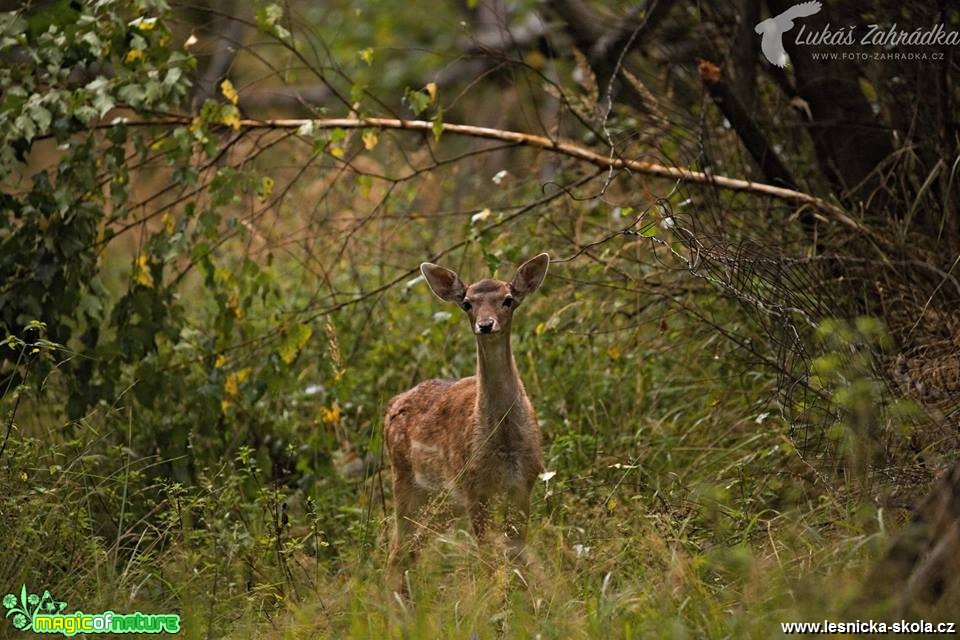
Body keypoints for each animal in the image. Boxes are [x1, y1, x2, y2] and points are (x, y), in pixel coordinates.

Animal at [382, 255, 548, 580]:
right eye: (467, 303)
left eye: (508, 299)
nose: (485, 325)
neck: (504, 443)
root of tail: (393, 403)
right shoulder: (474, 489)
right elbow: (488, 560)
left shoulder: (524, 483)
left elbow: (516, 554)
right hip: (405, 478)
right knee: (398, 549)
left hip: (445, 500)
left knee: (413, 547)